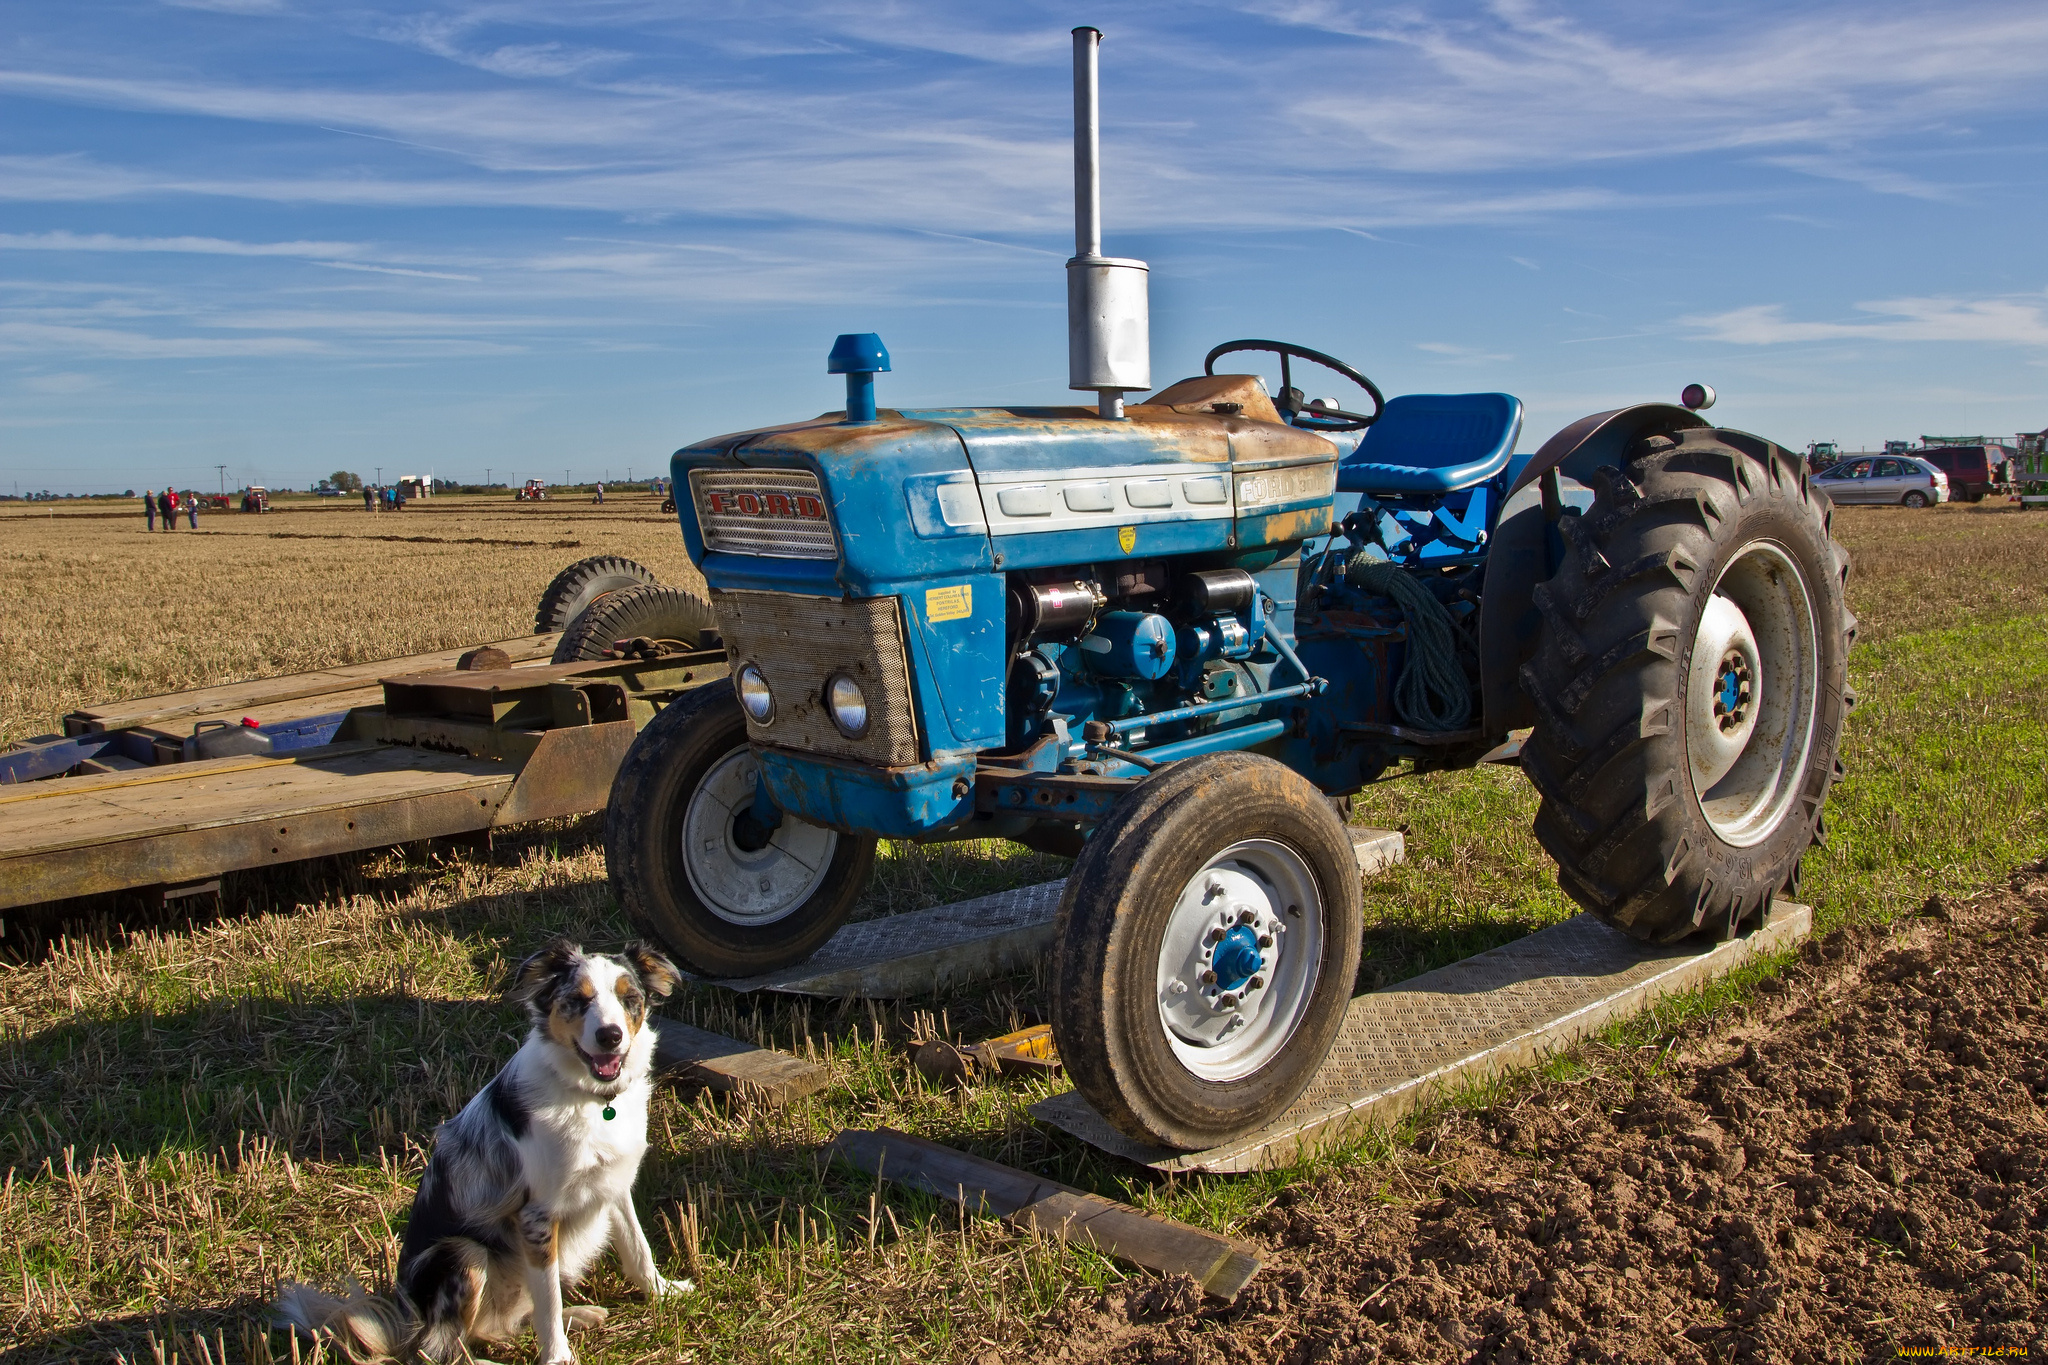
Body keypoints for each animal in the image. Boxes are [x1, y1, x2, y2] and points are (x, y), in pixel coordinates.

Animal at [280, 941, 696, 1365]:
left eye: (631, 1000)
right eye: (577, 1001)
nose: (610, 1036)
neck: (591, 1099)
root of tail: (407, 1321)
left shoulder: (613, 1184)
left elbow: (637, 1246)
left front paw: (663, 1291)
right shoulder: (536, 1216)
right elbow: (549, 1298)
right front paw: (558, 1356)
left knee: (506, 1321)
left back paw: (577, 1314)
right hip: (462, 1254)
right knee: (439, 1348)